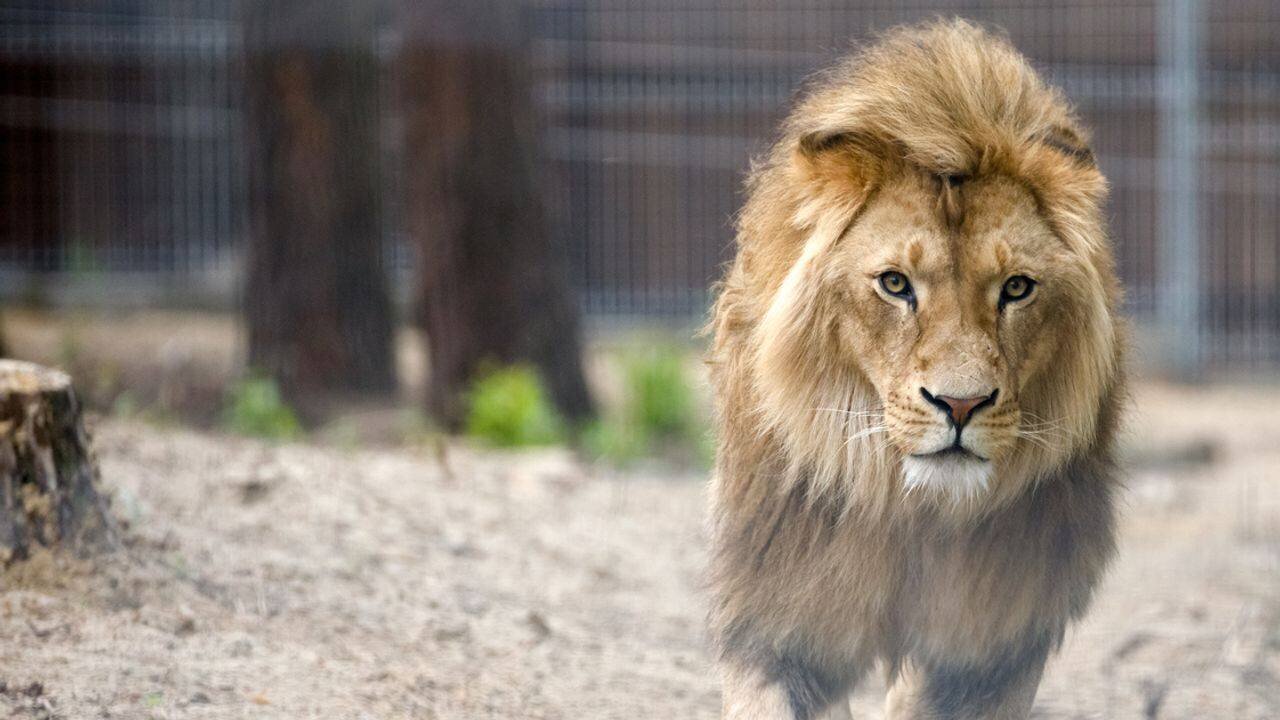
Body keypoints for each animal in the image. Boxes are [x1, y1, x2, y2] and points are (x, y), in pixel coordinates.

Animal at [706, 20, 1124, 720]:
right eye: (895, 283)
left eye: (1016, 288)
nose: (960, 405)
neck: (912, 516)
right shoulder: (778, 619)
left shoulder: (991, 650)